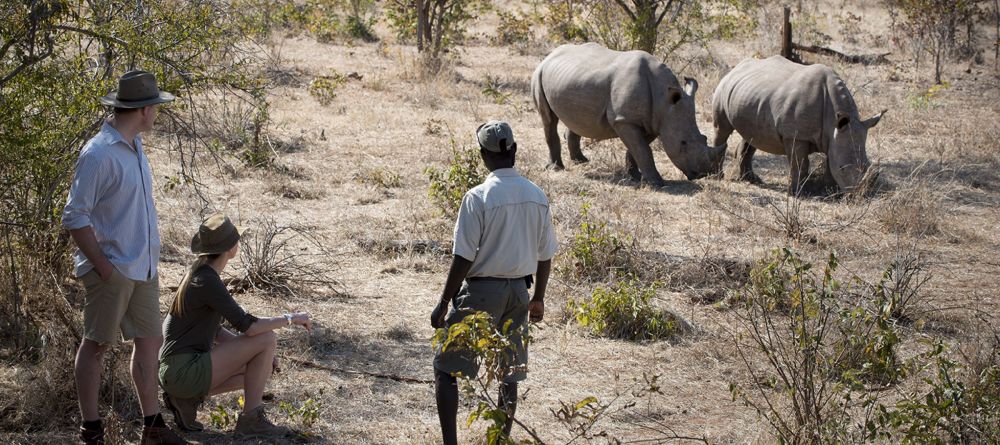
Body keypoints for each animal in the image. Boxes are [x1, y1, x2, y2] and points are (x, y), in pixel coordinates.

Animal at [531, 43, 726, 187]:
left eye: (704, 138)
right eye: (683, 143)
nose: (703, 174)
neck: (664, 100)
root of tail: (549, 55)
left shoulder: (653, 122)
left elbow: (638, 149)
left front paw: (635, 176)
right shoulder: (625, 120)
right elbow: (643, 150)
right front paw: (657, 183)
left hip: (572, 78)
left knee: (577, 118)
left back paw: (581, 161)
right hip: (539, 73)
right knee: (549, 120)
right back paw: (556, 168)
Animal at [711, 56, 885, 194]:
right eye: (843, 168)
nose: (859, 196)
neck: (833, 122)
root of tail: (736, 67)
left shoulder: (834, 136)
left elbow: (830, 161)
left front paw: (829, 190)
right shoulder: (796, 135)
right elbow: (800, 163)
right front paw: (796, 193)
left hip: (750, 95)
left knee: (753, 136)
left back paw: (752, 180)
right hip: (723, 87)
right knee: (722, 130)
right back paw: (717, 176)